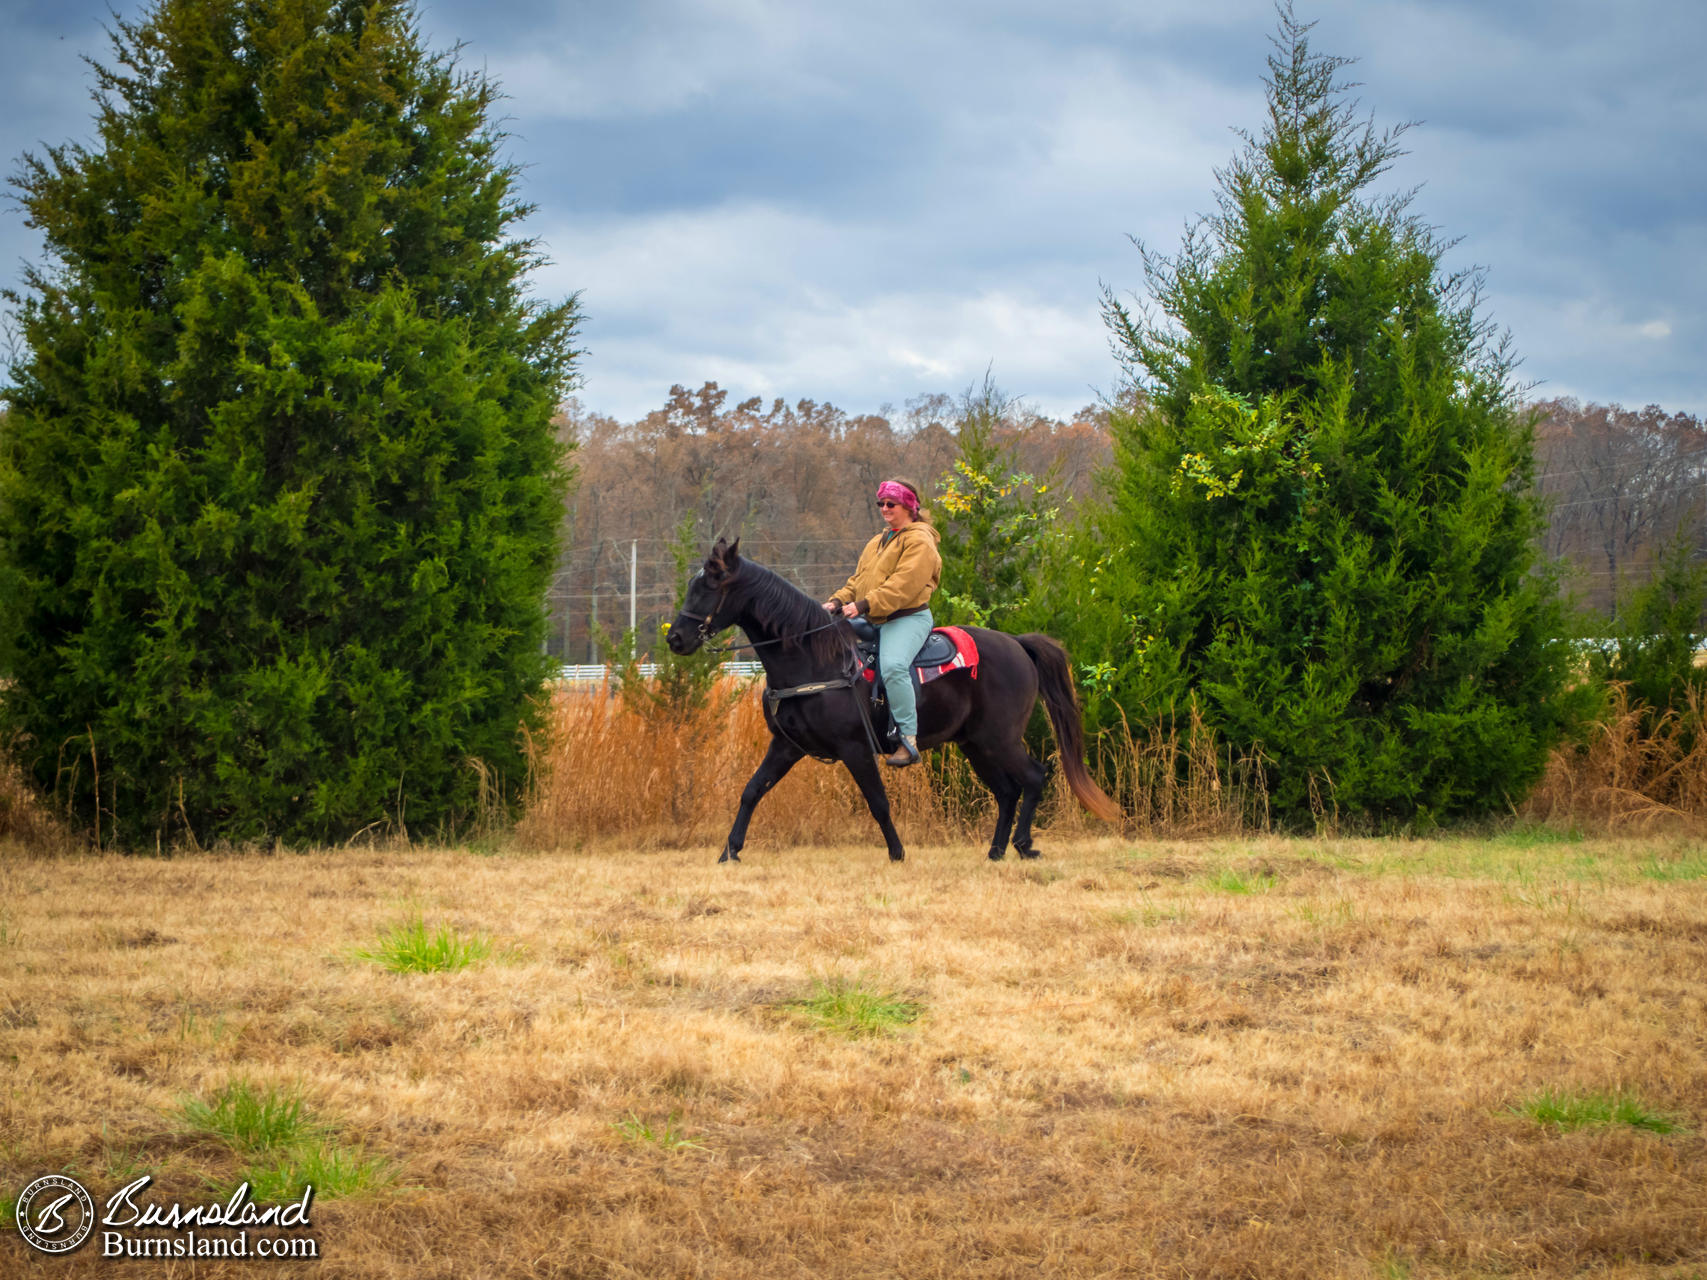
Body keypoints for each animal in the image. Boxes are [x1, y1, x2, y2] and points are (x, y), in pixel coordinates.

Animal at [665, 535, 1119, 866]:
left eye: (708, 586)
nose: (676, 639)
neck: (814, 658)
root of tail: (1017, 645)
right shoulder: (786, 747)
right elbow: (752, 790)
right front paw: (730, 852)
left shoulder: (854, 748)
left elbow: (878, 802)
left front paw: (898, 853)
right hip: (976, 745)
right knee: (1007, 792)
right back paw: (996, 851)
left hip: (999, 740)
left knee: (1034, 778)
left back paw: (1024, 845)